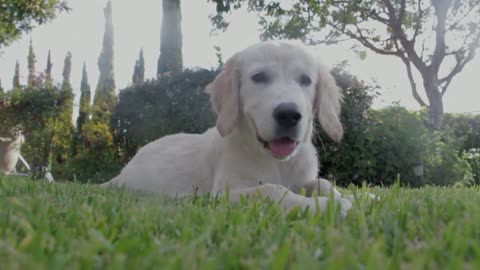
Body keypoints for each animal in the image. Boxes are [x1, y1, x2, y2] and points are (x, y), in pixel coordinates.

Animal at [103, 41, 352, 215]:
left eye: (306, 80)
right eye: (258, 77)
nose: (288, 114)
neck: (275, 162)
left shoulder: (302, 179)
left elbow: (324, 183)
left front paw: (351, 198)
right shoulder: (224, 193)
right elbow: (271, 190)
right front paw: (327, 206)